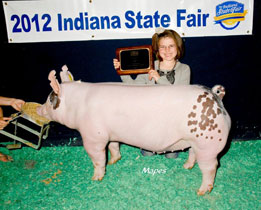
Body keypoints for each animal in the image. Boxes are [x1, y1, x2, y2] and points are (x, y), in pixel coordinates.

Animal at [37, 65, 230, 195]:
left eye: (50, 99)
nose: (39, 108)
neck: (77, 106)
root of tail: (215, 96)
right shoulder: (111, 134)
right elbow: (114, 146)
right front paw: (113, 161)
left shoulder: (93, 137)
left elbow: (98, 158)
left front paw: (96, 178)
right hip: (196, 141)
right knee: (193, 154)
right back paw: (186, 167)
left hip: (209, 143)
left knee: (211, 167)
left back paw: (201, 191)